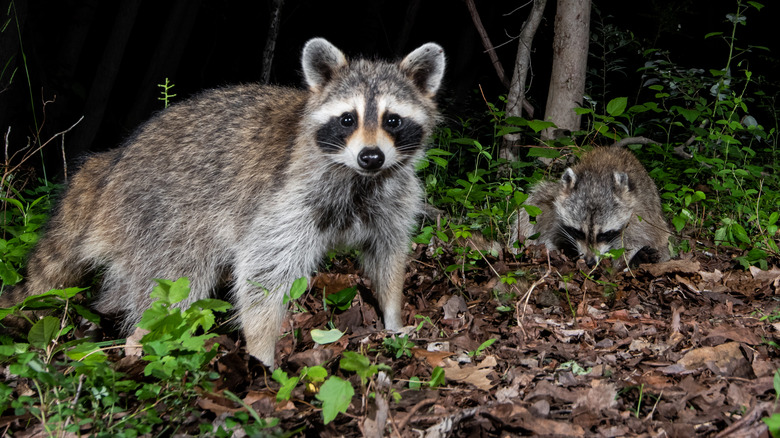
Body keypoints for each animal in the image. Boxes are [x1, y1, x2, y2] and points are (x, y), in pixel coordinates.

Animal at [1, 37, 444, 368]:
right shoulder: (283, 198)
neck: (360, 179)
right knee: (172, 284)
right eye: (348, 119)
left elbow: (387, 254)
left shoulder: (392, 195)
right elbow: (263, 274)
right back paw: (142, 334)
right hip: (161, 216)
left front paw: (392, 315)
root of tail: (111, 163)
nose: (371, 156)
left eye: (392, 120)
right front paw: (262, 351)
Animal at [512, 147, 672, 268]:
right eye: (578, 232)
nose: (590, 262)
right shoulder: (553, 204)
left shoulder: (639, 215)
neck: (597, 178)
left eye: (604, 234)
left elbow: (639, 239)